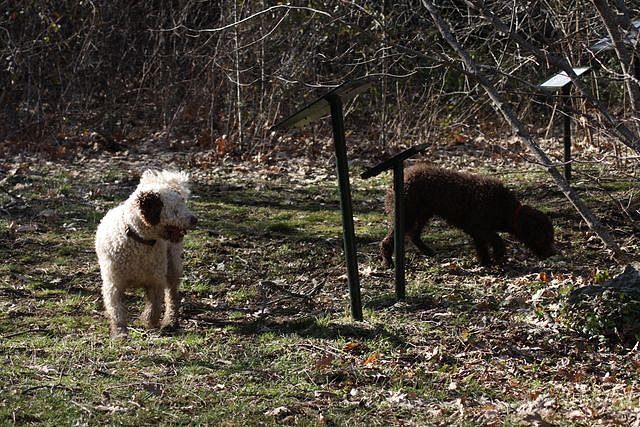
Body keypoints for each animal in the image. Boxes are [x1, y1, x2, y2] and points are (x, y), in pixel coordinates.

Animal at [95, 169, 198, 340]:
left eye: (183, 204)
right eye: (175, 209)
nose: (194, 219)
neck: (139, 241)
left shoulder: (155, 280)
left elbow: (154, 306)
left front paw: (149, 321)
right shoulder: (113, 285)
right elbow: (117, 311)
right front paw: (120, 333)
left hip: (172, 265)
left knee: (172, 296)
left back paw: (170, 321)